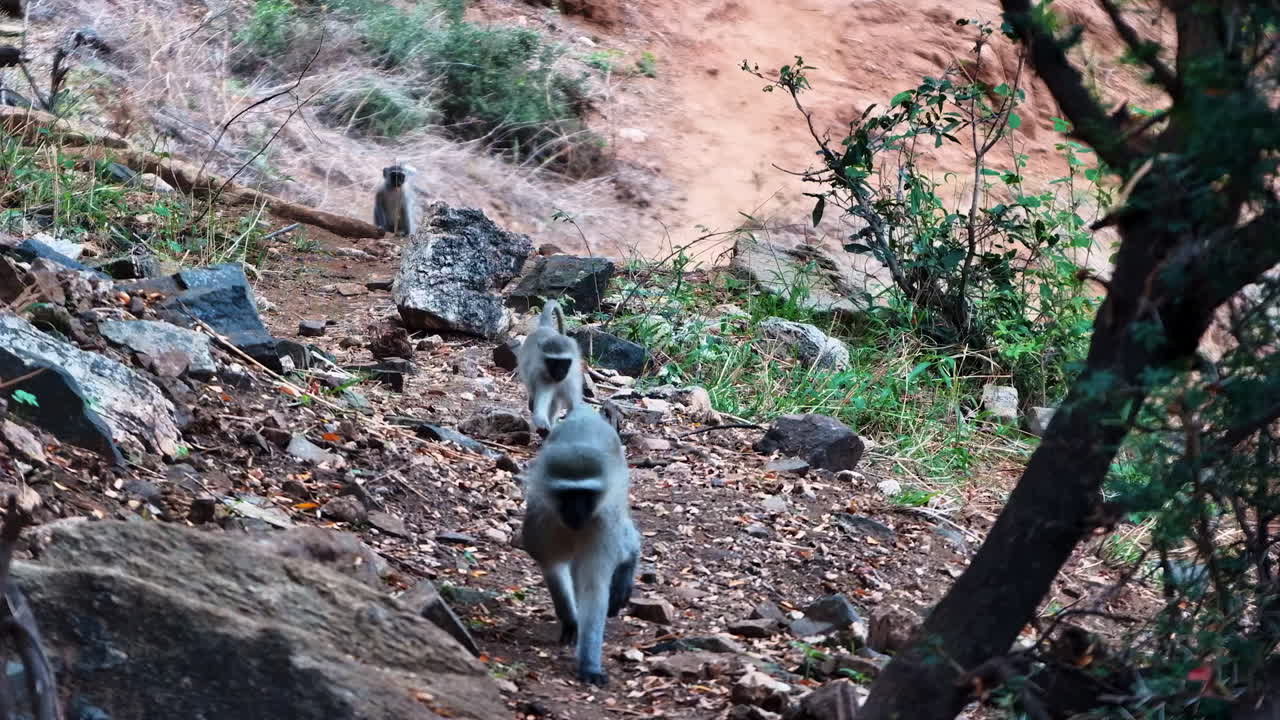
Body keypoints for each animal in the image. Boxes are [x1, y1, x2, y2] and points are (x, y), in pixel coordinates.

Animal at [516, 299, 584, 433]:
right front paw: (543, 424)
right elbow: (540, 411)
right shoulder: (543, 378)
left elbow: (574, 407)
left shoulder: (572, 379)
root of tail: (545, 328)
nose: (560, 372)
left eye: (564, 362)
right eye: (553, 362)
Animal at [520, 404, 641, 685]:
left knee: (624, 539)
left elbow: (593, 587)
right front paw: (570, 619)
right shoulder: (541, 517)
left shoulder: (604, 519)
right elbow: (552, 565)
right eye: (567, 495)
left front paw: (589, 664)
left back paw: (630, 560)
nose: (576, 512)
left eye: (585, 495)